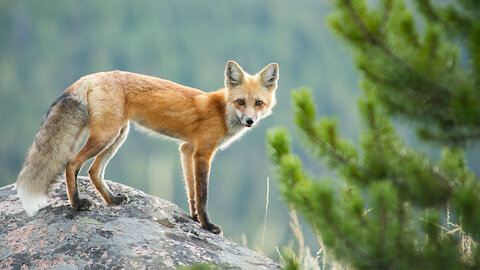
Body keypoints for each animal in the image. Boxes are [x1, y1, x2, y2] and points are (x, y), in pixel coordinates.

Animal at [15, 60, 278, 233]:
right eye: (240, 102)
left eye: (258, 103)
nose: (250, 121)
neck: (221, 111)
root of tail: (93, 75)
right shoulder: (203, 153)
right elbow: (202, 194)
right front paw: (207, 225)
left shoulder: (187, 149)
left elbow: (191, 192)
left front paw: (194, 219)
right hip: (106, 135)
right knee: (72, 164)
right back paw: (78, 204)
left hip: (118, 135)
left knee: (94, 170)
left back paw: (112, 200)